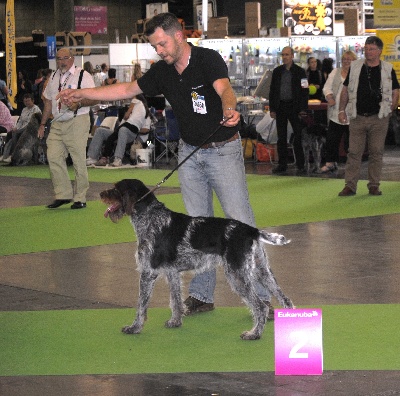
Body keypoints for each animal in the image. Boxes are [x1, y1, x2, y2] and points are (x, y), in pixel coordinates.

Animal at [100, 179, 294, 340]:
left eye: (116, 189)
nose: (101, 194)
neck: (150, 217)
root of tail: (251, 230)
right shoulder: (172, 273)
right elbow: (175, 300)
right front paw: (175, 322)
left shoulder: (148, 272)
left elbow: (141, 305)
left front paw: (134, 328)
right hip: (261, 271)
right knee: (286, 300)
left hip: (237, 275)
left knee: (261, 307)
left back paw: (254, 334)